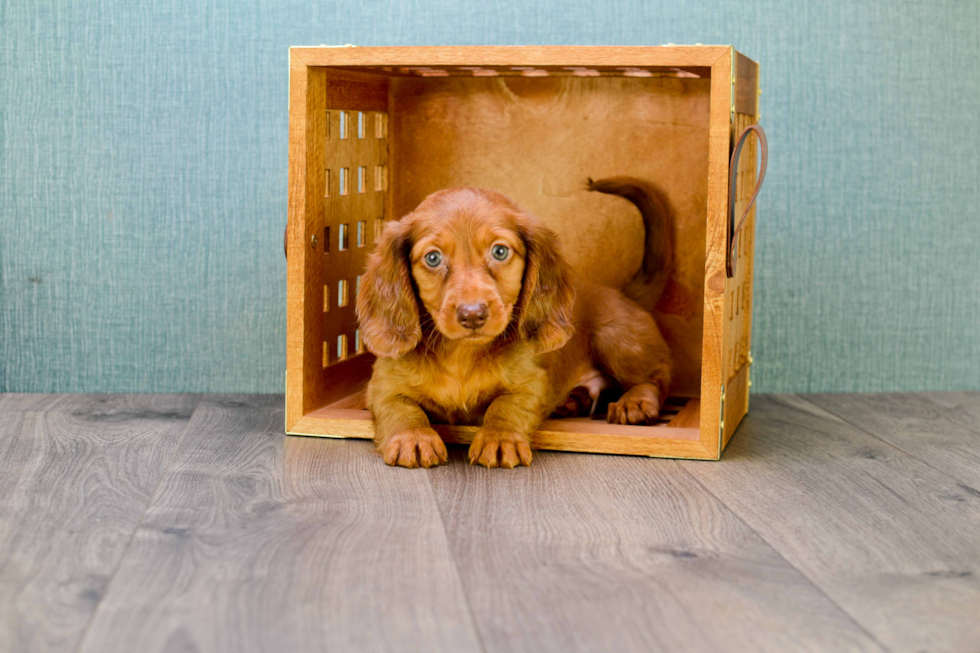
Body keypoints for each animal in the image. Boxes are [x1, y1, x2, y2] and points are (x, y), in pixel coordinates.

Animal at [358, 177, 672, 468]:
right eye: (433, 258)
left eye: (500, 251)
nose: (472, 314)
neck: (461, 354)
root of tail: (624, 293)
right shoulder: (382, 386)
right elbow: (402, 408)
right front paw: (412, 437)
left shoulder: (531, 383)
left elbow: (505, 406)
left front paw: (500, 438)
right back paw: (575, 400)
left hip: (613, 337)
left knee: (656, 377)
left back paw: (635, 402)